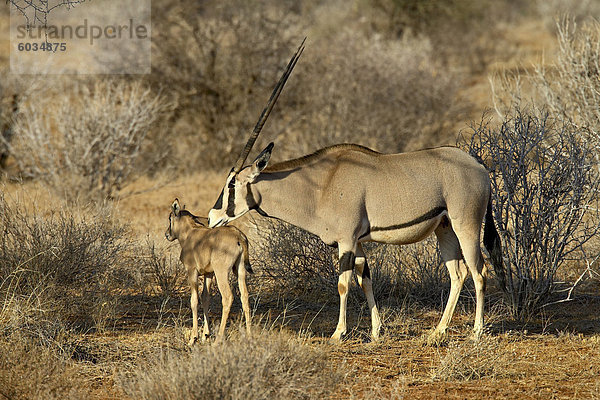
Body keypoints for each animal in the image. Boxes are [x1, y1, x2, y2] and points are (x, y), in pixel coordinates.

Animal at [165, 198, 252, 346]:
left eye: (170, 217)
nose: (167, 234)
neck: (189, 233)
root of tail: (238, 237)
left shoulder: (192, 272)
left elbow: (194, 300)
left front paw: (193, 338)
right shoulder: (208, 274)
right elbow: (205, 298)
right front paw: (205, 335)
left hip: (221, 272)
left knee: (228, 297)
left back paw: (218, 339)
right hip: (240, 270)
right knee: (244, 296)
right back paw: (250, 336)